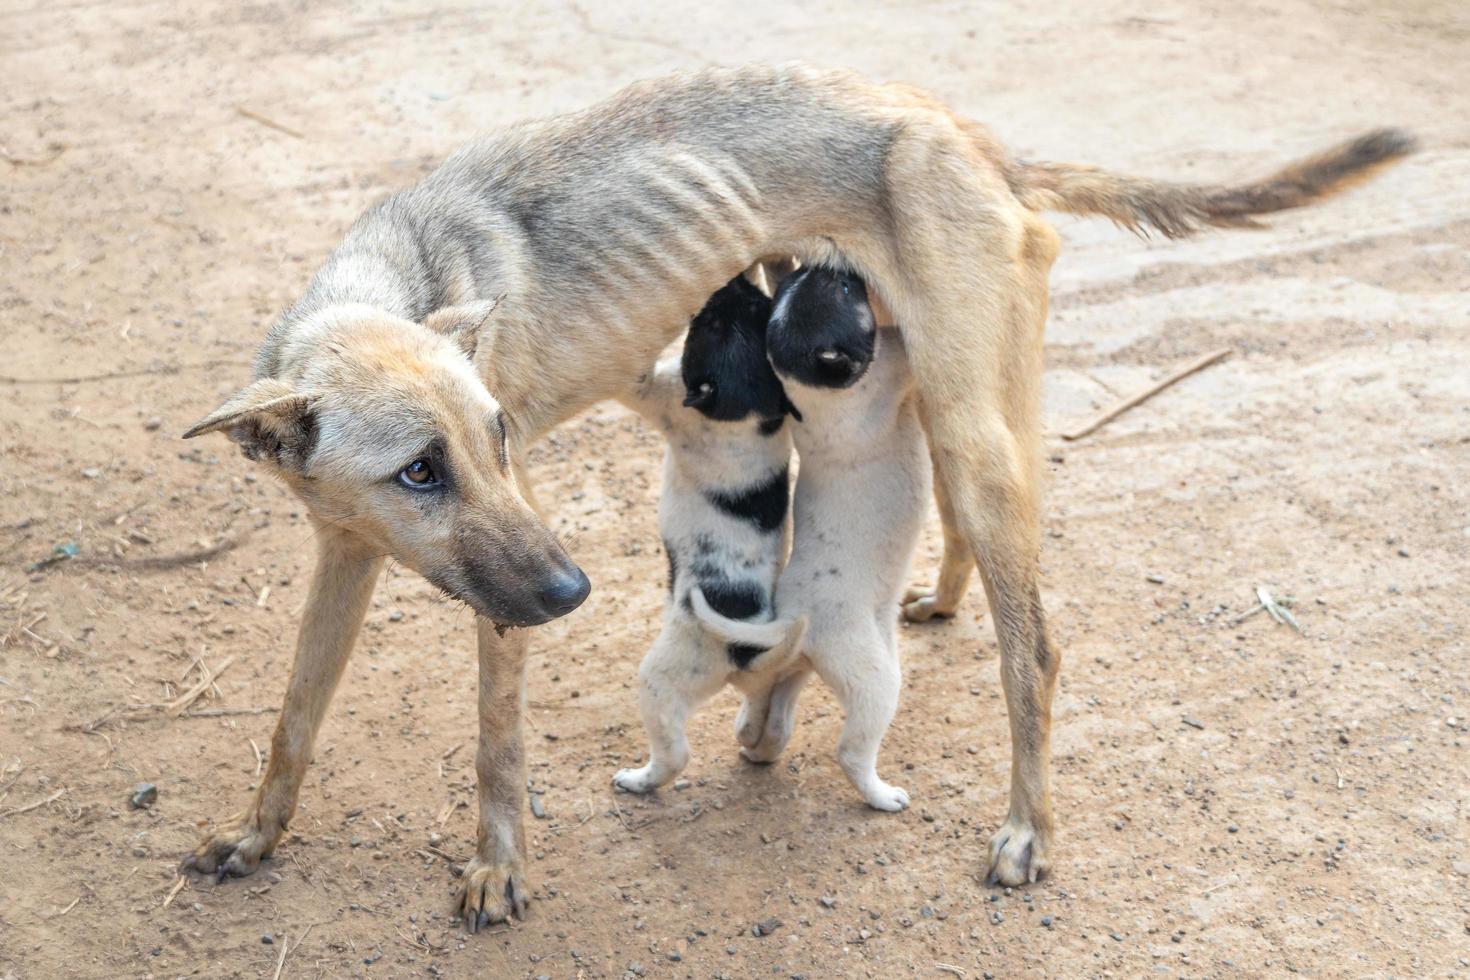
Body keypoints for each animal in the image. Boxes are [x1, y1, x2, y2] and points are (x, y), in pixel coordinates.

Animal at [690, 262, 929, 811]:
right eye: (843, 289)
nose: (829, 263)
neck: (813, 392)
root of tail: (796, 614)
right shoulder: (893, 367)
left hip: (803, 664)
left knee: (773, 705)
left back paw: (757, 746)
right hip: (873, 680)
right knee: (851, 752)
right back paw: (882, 796)